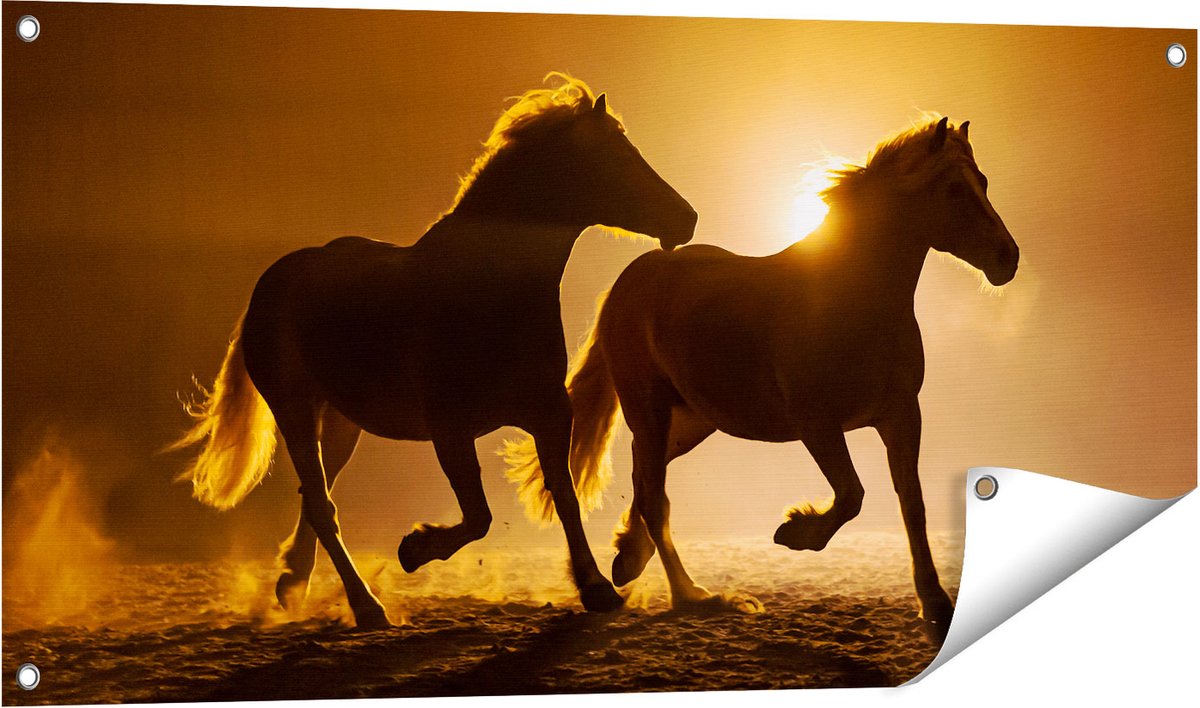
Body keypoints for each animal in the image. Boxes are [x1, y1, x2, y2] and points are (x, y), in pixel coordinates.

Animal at [169, 74, 697, 629]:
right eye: (617, 157)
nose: (687, 218)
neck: (487, 290)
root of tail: (272, 282)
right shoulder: (449, 427)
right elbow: (479, 516)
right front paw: (414, 549)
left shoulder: (549, 413)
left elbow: (565, 498)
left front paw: (597, 589)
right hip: (293, 410)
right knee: (322, 507)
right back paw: (366, 606)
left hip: (337, 423)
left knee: (315, 499)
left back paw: (293, 584)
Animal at [505, 116, 1018, 642]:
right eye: (953, 189)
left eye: (983, 182)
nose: (1008, 258)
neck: (854, 297)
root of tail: (634, 275)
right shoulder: (816, 423)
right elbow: (852, 495)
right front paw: (794, 532)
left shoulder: (900, 415)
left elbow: (911, 505)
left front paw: (936, 606)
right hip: (648, 409)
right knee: (653, 497)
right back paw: (692, 595)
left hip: (689, 422)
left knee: (645, 479)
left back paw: (630, 561)